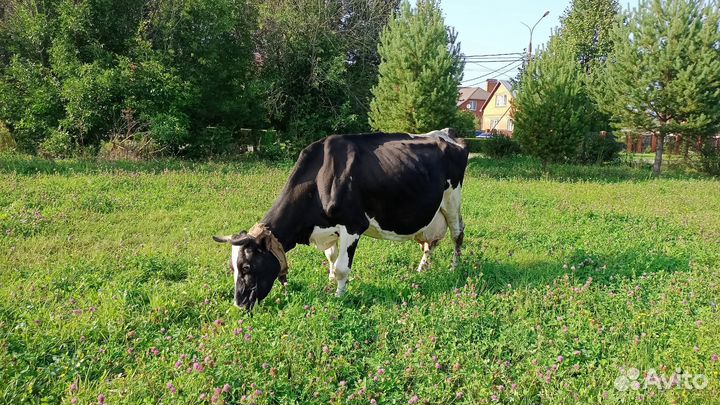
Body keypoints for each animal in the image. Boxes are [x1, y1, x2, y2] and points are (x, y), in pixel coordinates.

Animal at [213, 128, 469, 310]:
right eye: (232, 267)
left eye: (247, 266)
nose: (239, 304)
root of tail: (448, 133)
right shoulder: (329, 229)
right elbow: (331, 257)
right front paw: (329, 279)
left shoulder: (353, 225)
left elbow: (342, 268)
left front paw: (339, 295)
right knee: (430, 242)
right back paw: (422, 268)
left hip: (452, 198)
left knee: (457, 233)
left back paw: (455, 268)